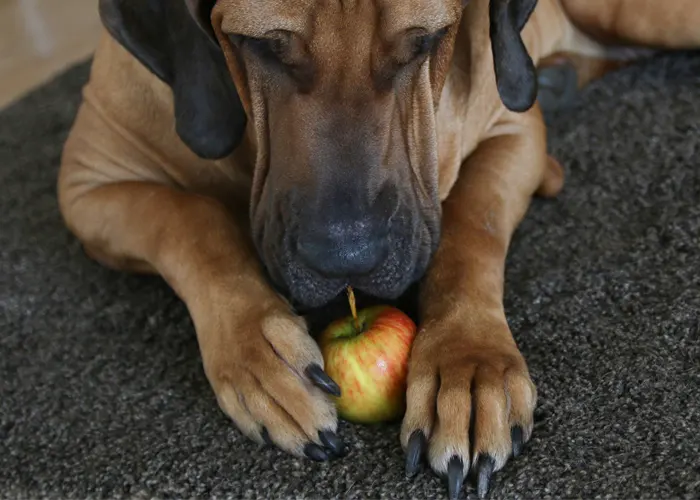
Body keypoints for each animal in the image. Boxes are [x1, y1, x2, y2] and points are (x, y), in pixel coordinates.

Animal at [57, 1, 700, 498]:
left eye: (426, 41)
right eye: (261, 45)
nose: (349, 259)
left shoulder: (511, 129)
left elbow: (468, 235)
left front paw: (467, 366)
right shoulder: (87, 183)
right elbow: (190, 218)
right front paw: (258, 354)